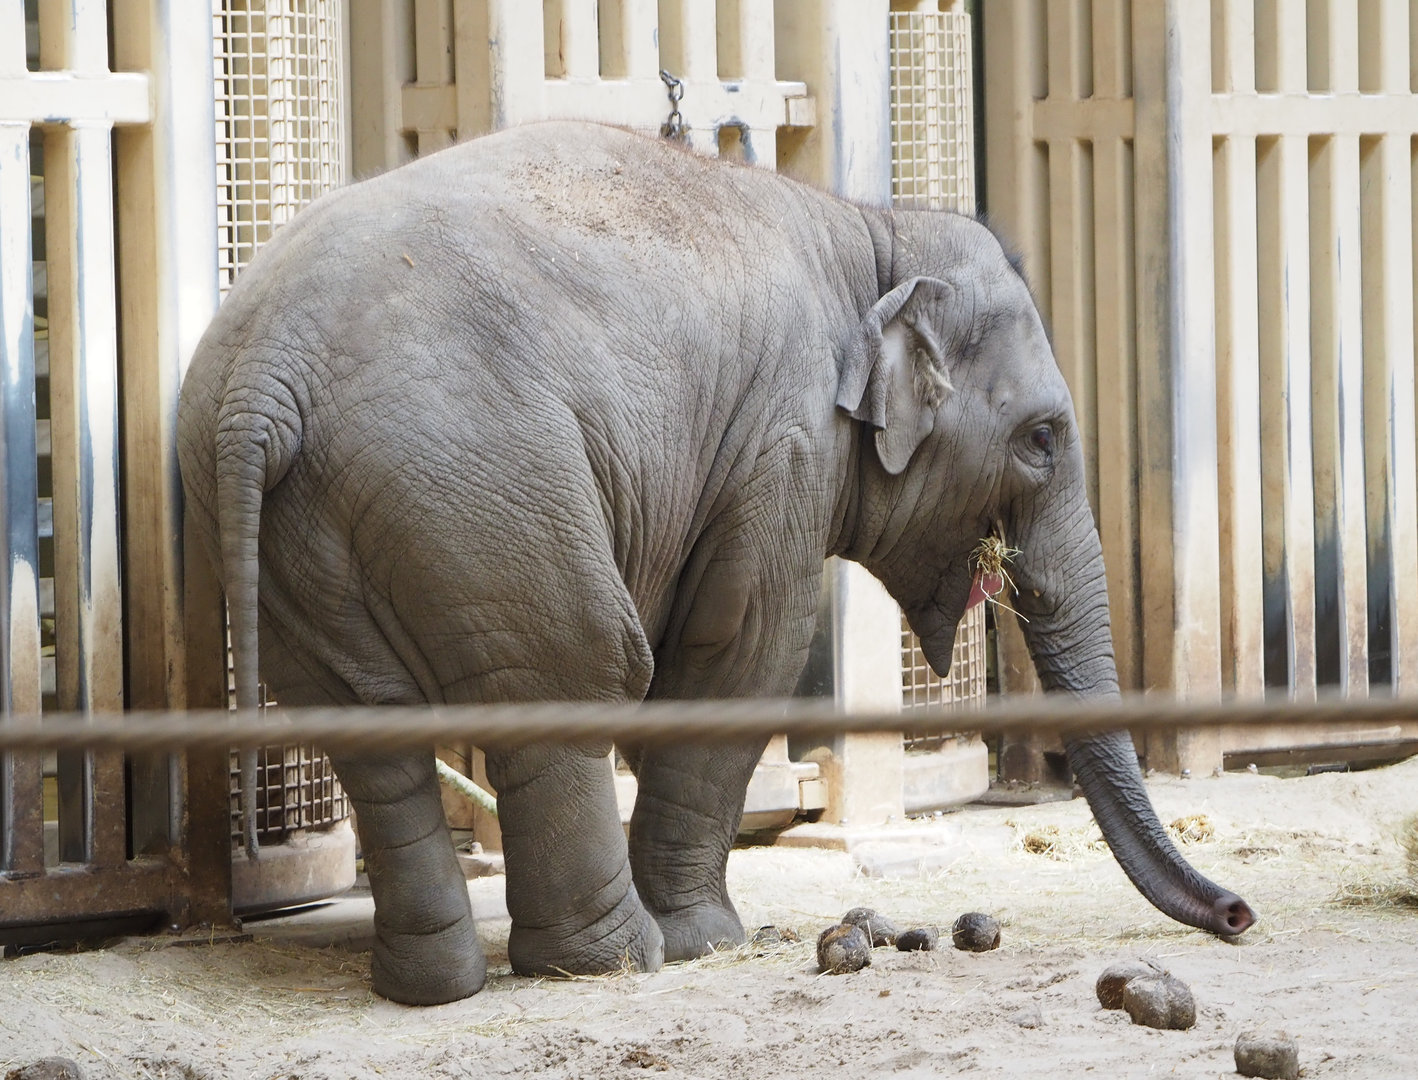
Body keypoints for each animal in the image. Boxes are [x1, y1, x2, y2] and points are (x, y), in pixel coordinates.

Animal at [177, 120, 1255, 1006]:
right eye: (1041, 438)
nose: (1239, 915)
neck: (867, 234)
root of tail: (263, 381)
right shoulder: (783, 440)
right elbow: (742, 650)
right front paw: (712, 941)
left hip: (311, 531)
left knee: (373, 731)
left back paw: (434, 988)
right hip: (479, 486)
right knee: (575, 671)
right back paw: (616, 960)